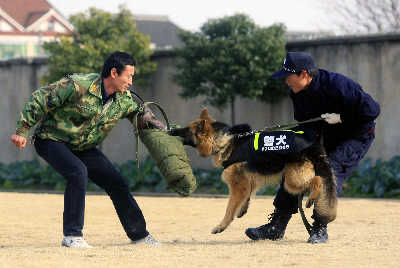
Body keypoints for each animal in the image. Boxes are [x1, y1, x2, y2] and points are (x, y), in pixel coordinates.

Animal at [170, 108, 336, 233]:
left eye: (186, 130)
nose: (171, 131)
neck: (226, 142)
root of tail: (312, 145)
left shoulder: (237, 186)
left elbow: (229, 209)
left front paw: (221, 226)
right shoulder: (248, 183)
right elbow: (246, 198)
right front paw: (242, 209)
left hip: (291, 182)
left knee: (318, 180)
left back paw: (311, 199)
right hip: (292, 182)